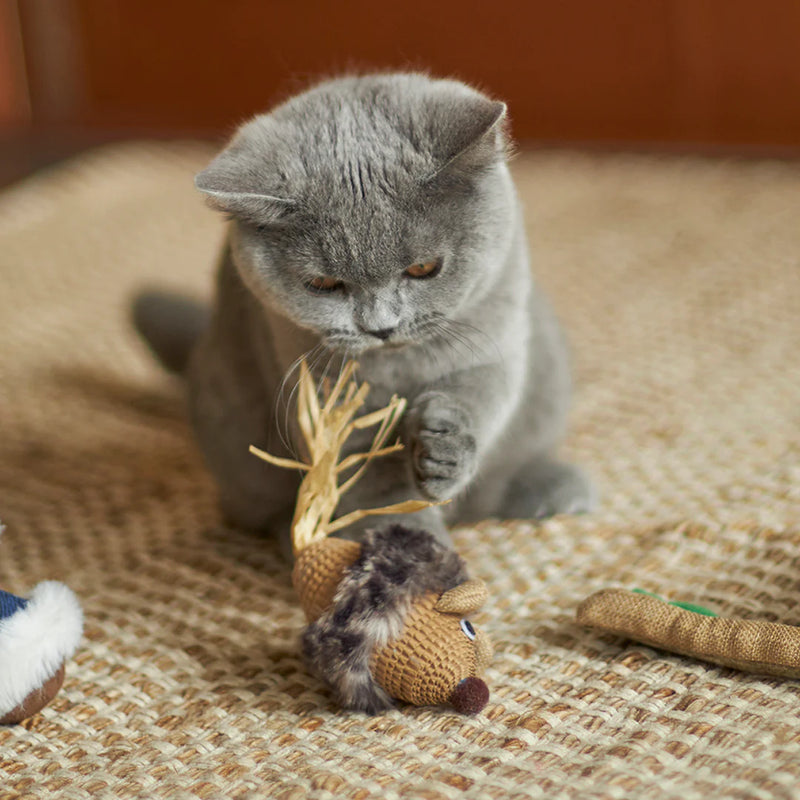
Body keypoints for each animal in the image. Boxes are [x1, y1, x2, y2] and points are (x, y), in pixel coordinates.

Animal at [133, 73, 592, 552]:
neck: (401, 366)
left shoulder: (493, 339)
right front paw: (405, 550)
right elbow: (372, 479)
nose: (381, 326)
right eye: (323, 284)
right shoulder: (328, 400)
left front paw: (442, 450)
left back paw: (549, 489)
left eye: (424, 268)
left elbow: (480, 398)